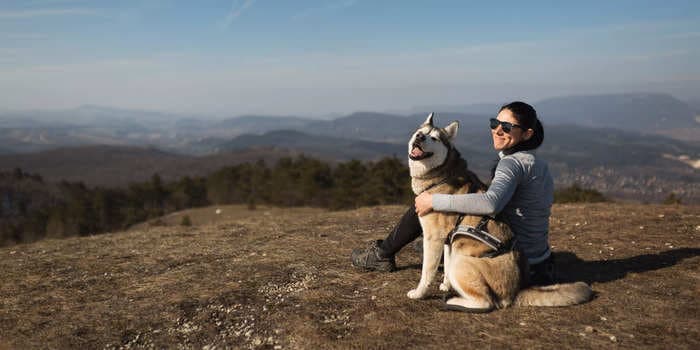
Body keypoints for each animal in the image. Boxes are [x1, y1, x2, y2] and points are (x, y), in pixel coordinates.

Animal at [404, 113, 592, 312]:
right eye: (420, 132)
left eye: (434, 138)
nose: (419, 137)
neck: (441, 175)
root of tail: (516, 292)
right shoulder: (448, 240)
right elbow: (445, 265)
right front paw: (446, 285)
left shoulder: (433, 238)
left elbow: (427, 272)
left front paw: (419, 293)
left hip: (461, 262)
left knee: (486, 302)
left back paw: (453, 301)